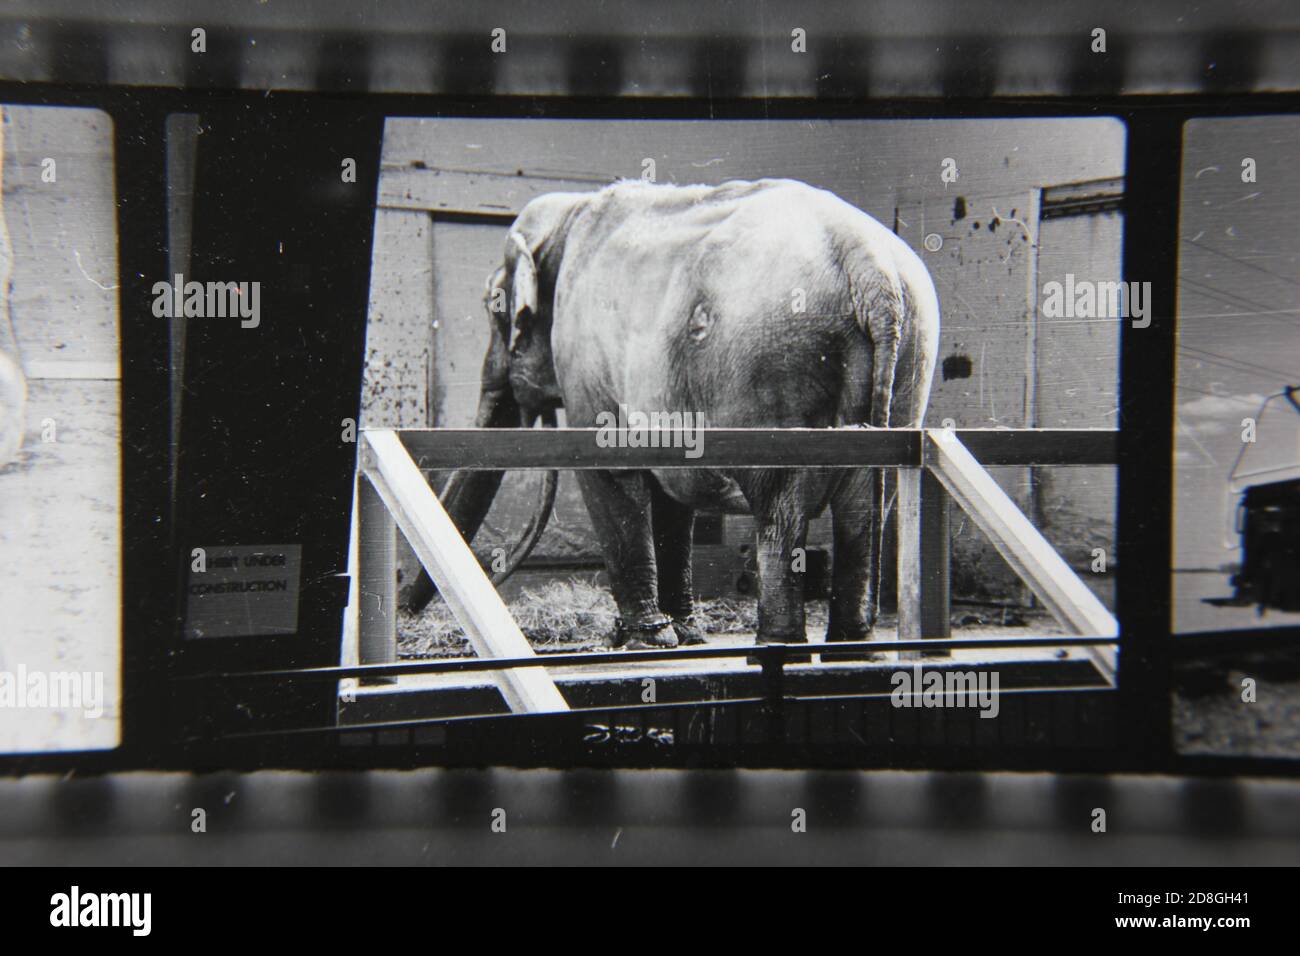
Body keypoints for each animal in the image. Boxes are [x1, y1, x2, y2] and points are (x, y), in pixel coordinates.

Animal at [400, 178, 941, 655]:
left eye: (494, 309)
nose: (406, 609)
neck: (571, 215)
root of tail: (871, 270)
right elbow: (671, 490)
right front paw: (684, 634)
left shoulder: (585, 356)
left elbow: (609, 470)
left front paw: (645, 640)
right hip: (908, 365)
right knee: (868, 503)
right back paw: (851, 644)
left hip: (777, 367)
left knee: (780, 504)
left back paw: (777, 646)